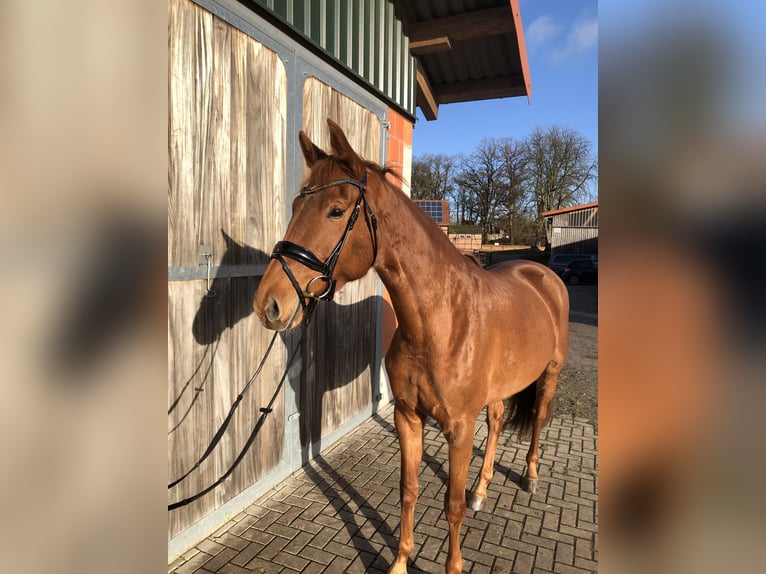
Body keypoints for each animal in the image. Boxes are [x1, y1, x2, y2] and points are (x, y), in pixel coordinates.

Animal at [254, 119, 568, 572]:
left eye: (336, 210)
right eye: (296, 207)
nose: (269, 303)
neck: (440, 323)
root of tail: (541, 274)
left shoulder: (459, 428)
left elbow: (451, 504)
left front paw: (453, 564)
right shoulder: (407, 417)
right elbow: (409, 489)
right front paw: (400, 561)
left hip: (550, 373)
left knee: (539, 418)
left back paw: (529, 477)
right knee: (495, 422)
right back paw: (482, 490)